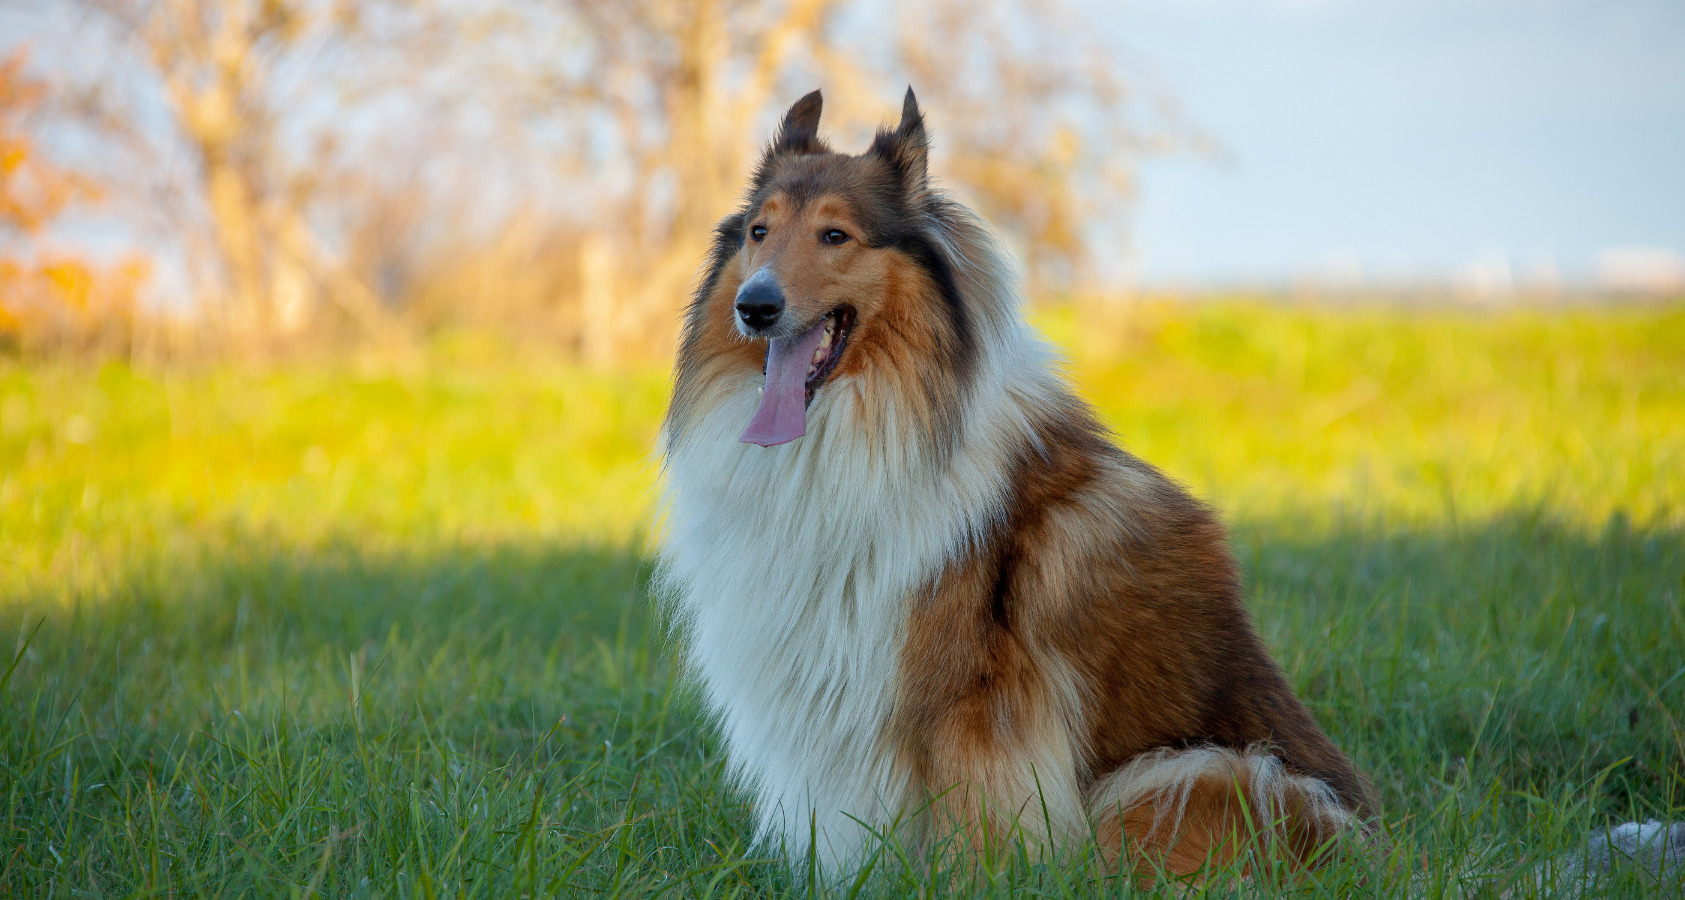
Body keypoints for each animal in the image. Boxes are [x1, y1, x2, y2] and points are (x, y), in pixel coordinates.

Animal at [653, 91, 1368, 883]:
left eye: (835, 235)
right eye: (759, 231)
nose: (755, 306)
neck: (860, 421)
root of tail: (1371, 842)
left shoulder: (968, 701)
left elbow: (969, 819)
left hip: (1205, 778)